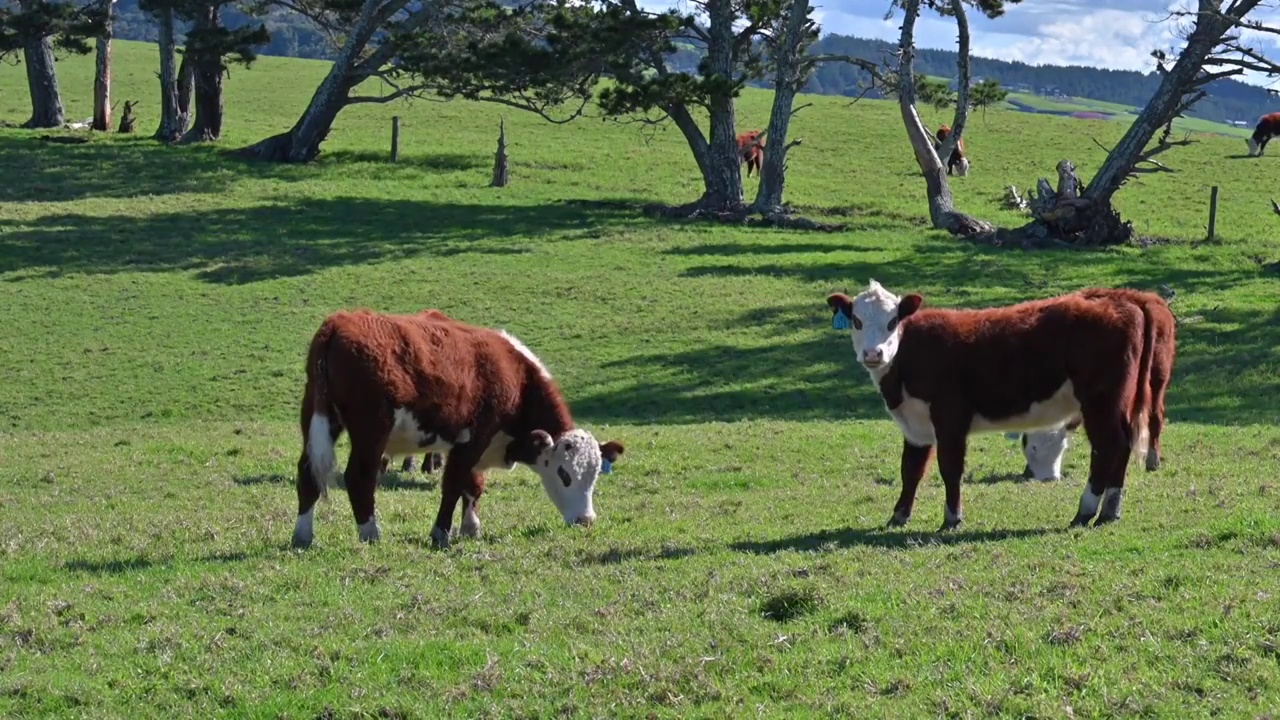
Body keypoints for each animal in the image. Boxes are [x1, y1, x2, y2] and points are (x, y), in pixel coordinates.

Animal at [291, 304, 629, 545]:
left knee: (307, 472)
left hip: (316, 417)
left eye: (595, 475)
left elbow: (473, 485)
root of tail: (339, 322)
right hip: (371, 430)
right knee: (359, 477)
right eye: (564, 473)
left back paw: (302, 535)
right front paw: (441, 532)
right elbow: (454, 483)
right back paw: (370, 533)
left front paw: (471, 527)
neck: (515, 376)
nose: (585, 519)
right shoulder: (473, 439)